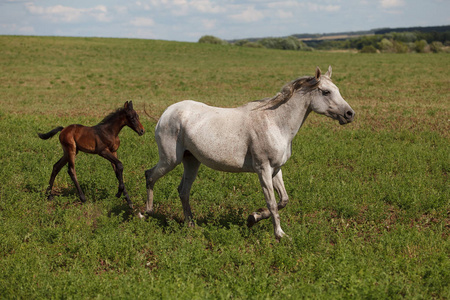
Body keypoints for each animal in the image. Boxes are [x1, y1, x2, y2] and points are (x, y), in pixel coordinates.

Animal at [142, 65, 354, 239]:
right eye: (326, 92)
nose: (349, 114)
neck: (275, 122)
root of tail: (166, 113)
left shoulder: (276, 169)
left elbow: (283, 200)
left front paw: (253, 217)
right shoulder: (263, 169)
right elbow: (271, 202)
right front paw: (280, 235)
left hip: (191, 161)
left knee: (183, 191)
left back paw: (191, 225)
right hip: (170, 160)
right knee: (150, 176)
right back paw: (145, 213)